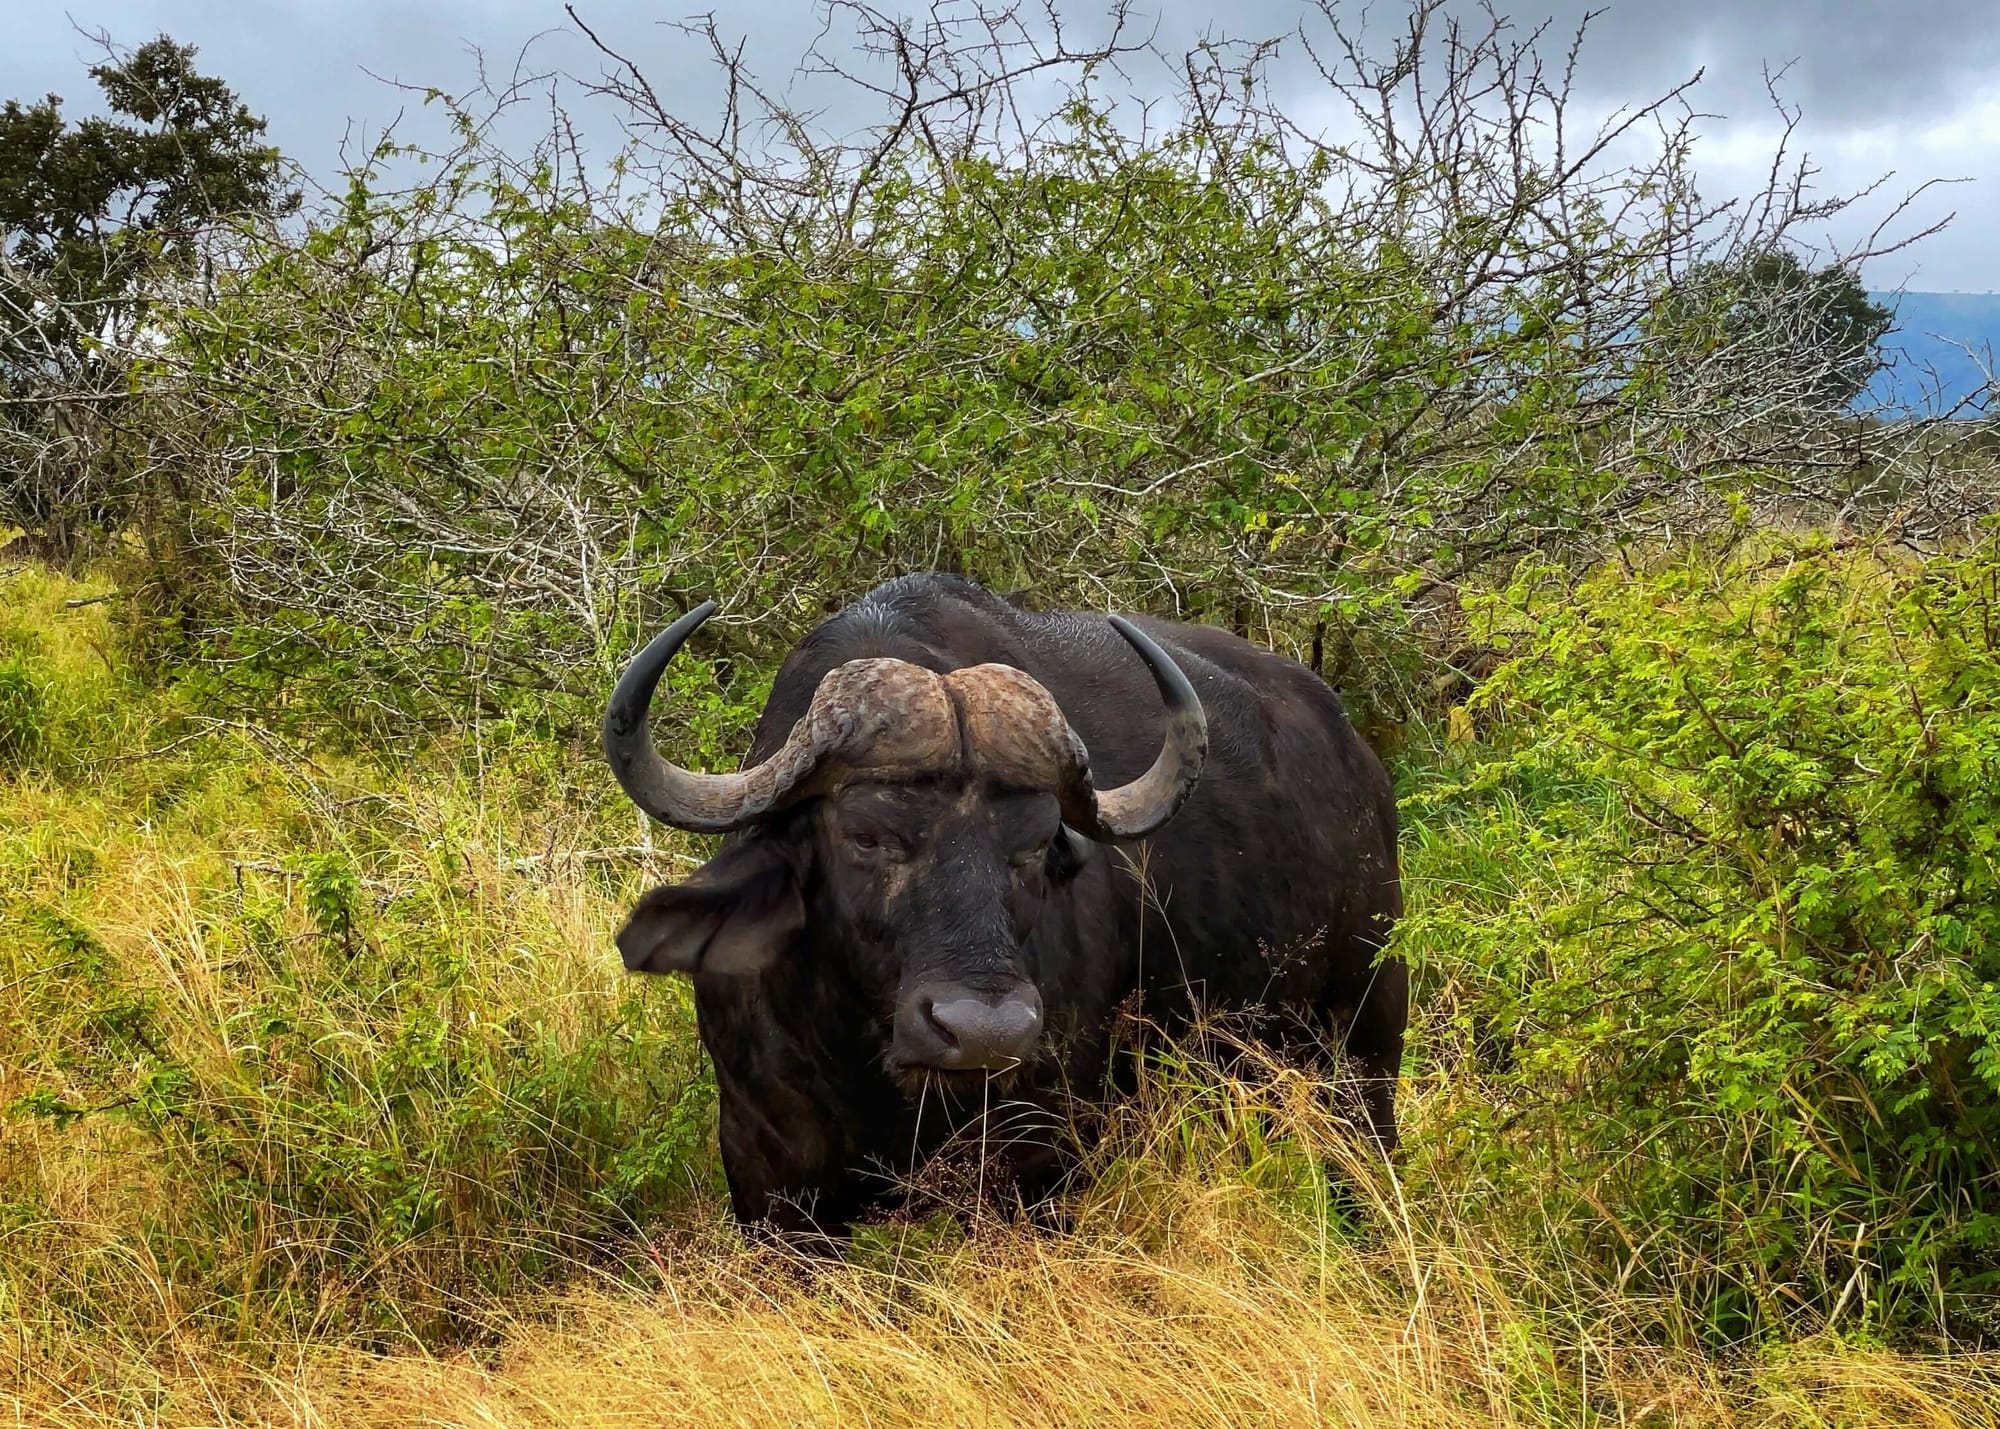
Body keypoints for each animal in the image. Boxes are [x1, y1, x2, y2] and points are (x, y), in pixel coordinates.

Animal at [600, 572, 1400, 1232]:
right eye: (865, 833)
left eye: (1037, 843)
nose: (984, 1032)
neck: (867, 1062)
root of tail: (1359, 764)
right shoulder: (768, 1177)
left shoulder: (1041, 1163)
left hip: (1364, 1045)